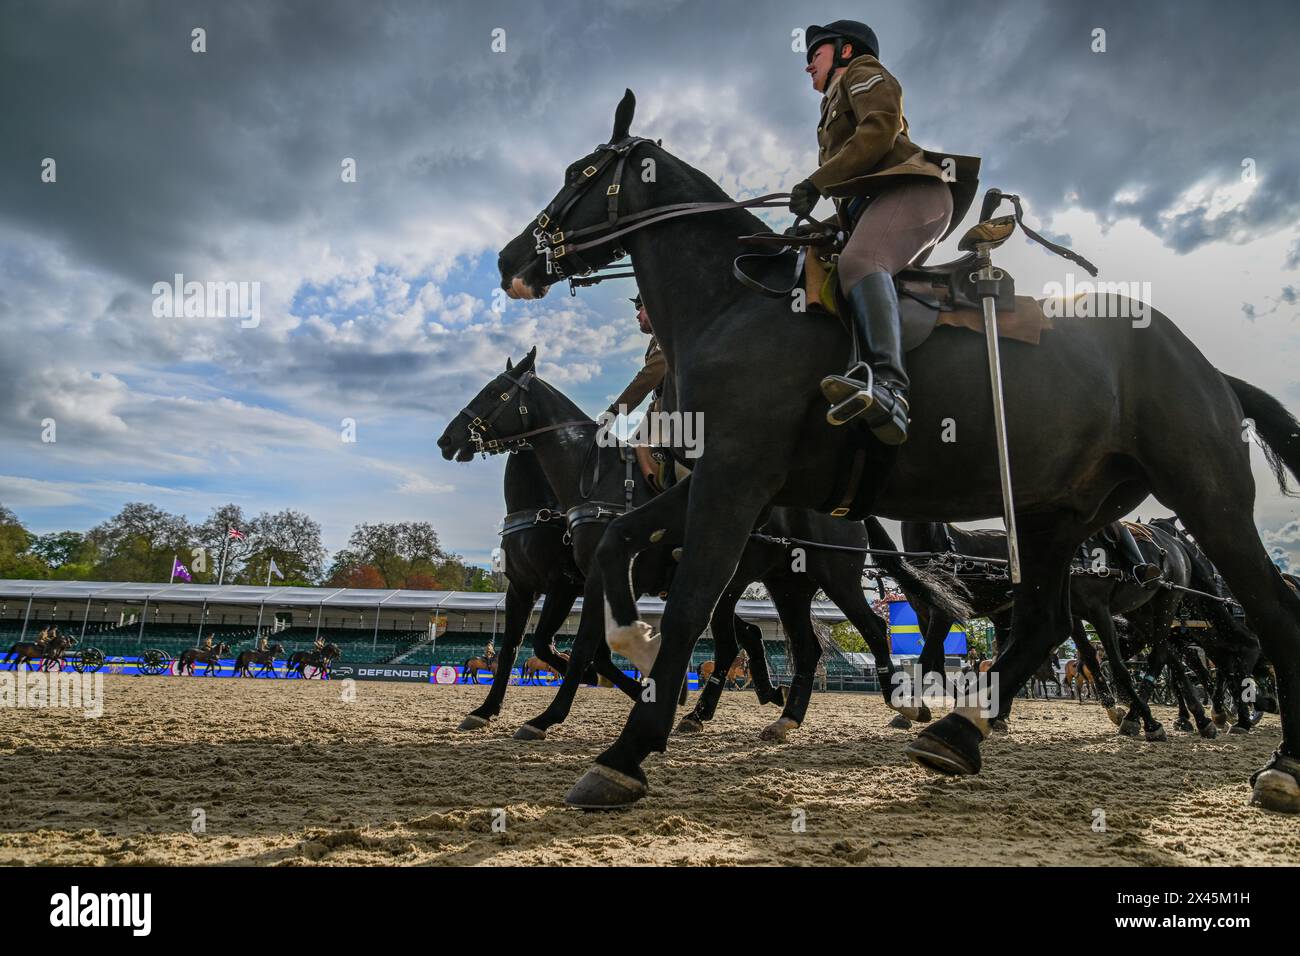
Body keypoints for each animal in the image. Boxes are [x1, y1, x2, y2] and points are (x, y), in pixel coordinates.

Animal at [491, 89, 1300, 811]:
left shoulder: (735, 477)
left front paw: (628, 749)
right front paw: (633, 642)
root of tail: (1207, 366)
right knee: (1042, 624)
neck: (733, 303)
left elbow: (691, 602)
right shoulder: (718, 477)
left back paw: (1277, 762)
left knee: (1272, 607)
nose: (508, 259)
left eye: (580, 172)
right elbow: (618, 548)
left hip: (1207, 496)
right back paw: (957, 731)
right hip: (1055, 514)